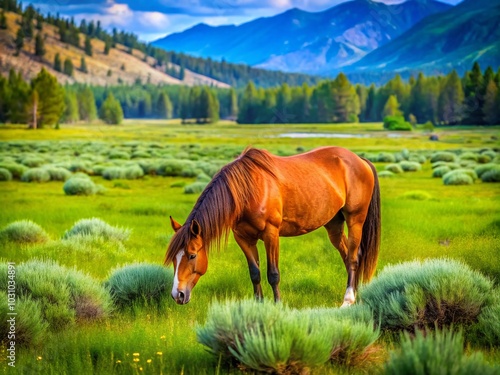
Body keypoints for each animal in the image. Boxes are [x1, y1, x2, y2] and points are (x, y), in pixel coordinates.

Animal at [164, 145, 378, 306]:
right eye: (174, 258)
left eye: (192, 255)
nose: (178, 295)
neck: (248, 190)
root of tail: (360, 160)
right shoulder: (243, 238)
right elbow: (255, 273)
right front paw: (259, 306)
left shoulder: (271, 234)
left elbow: (273, 274)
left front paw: (277, 305)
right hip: (333, 225)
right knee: (347, 255)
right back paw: (355, 294)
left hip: (355, 219)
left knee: (353, 258)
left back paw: (348, 300)